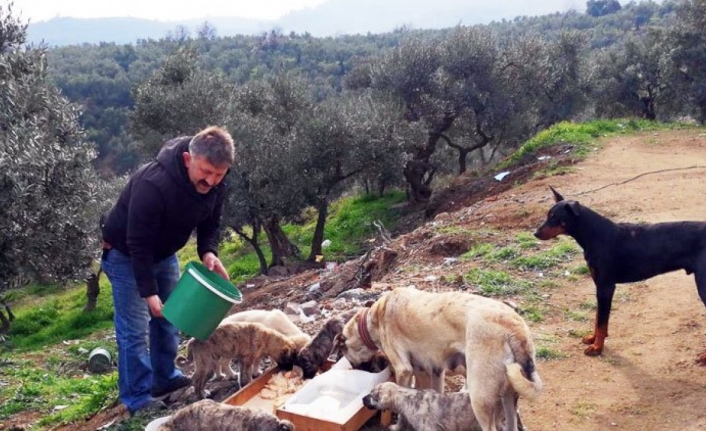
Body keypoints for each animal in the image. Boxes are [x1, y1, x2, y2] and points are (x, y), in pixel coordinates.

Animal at [532, 186, 704, 358]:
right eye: (548, 215)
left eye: (554, 217)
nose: (535, 233)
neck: (594, 235)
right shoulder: (599, 286)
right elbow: (598, 318)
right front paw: (593, 338)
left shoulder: (606, 287)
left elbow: (602, 321)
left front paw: (597, 347)